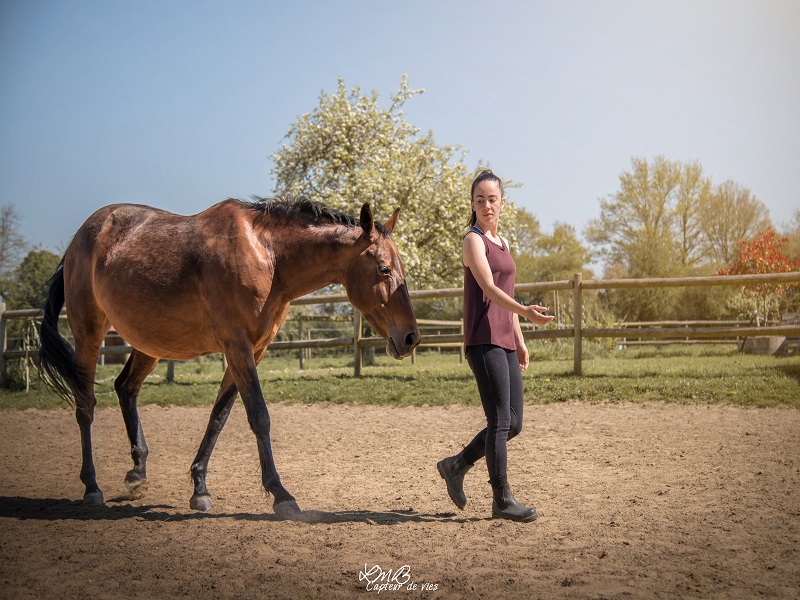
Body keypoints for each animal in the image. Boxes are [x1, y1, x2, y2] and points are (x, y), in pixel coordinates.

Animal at [38, 197, 420, 516]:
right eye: (384, 269)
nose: (411, 337)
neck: (269, 257)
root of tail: (80, 240)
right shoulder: (237, 347)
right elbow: (259, 416)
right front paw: (281, 494)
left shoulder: (253, 350)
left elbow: (219, 417)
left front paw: (200, 487)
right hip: (89, 333)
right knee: (85, 405)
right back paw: (91, 486)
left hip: (150, 344)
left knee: (125, 388)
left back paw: (138, 473)